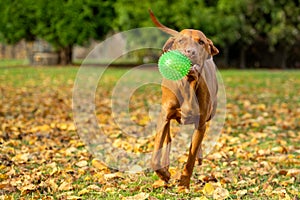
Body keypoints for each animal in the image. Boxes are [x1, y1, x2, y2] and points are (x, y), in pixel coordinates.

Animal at [149, 10, 218, 189]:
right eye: (181, 41)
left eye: (201, 42)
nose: (190, 51)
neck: (188, 84)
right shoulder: (165, 114)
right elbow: (156, 154)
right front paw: (163, 173)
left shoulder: (201, 122)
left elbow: (191, 157)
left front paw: (184, 185)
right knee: (167, 138)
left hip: (210, 114)